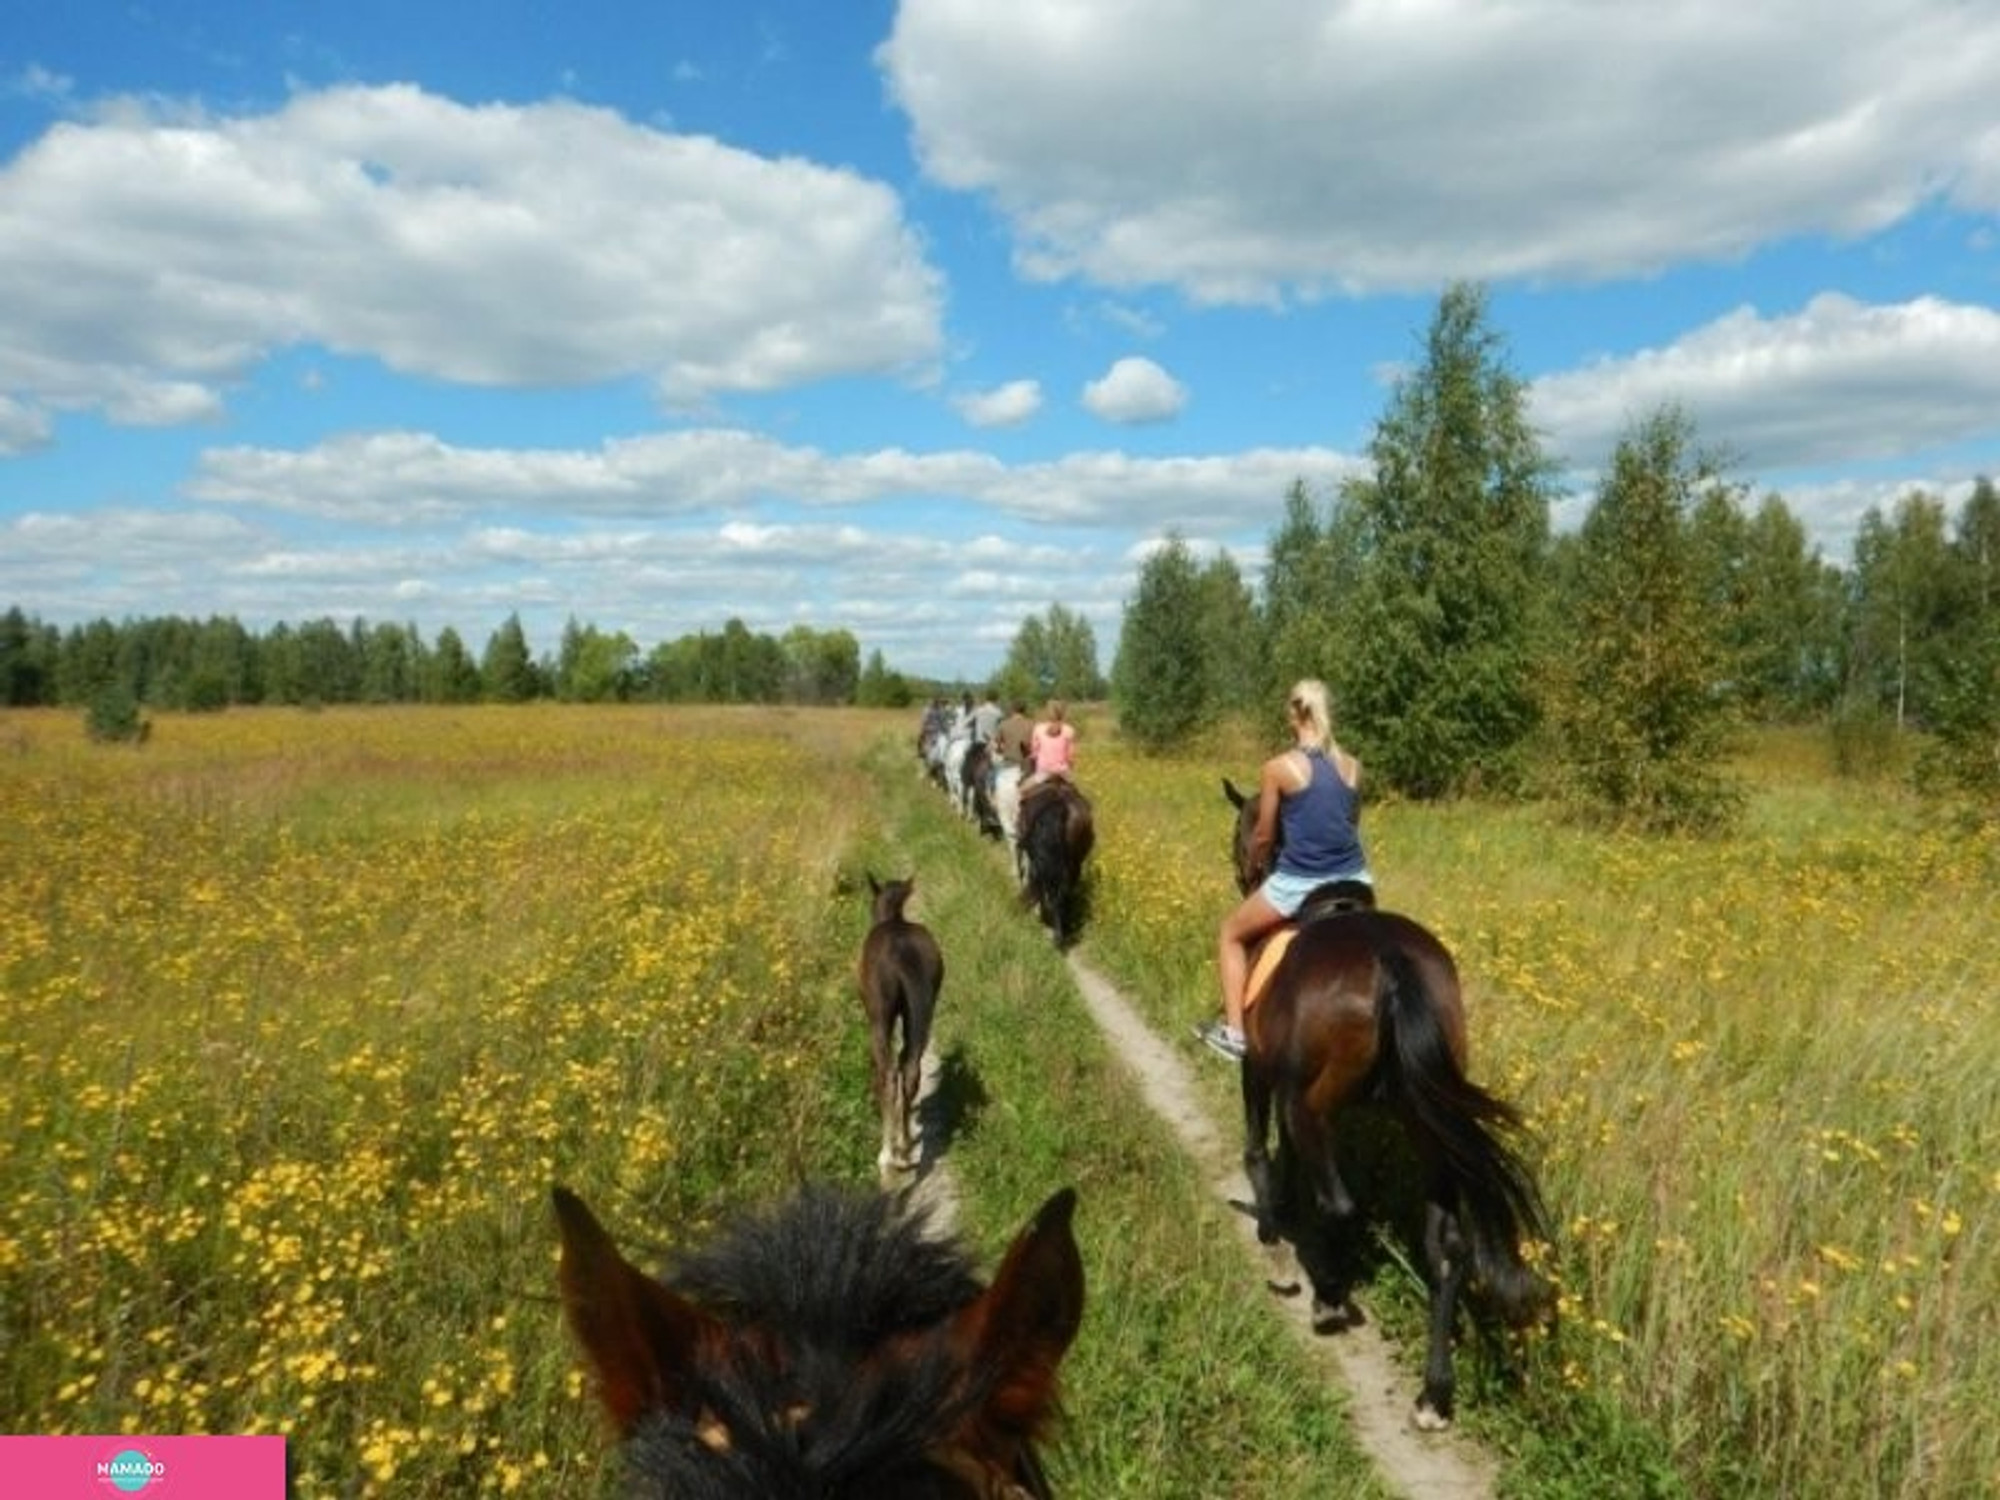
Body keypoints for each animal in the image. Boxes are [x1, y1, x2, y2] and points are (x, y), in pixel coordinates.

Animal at [860, 876, 944, 1184]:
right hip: (920, 1017)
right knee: (909, 1071)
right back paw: (905, 1148)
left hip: (880, 1021)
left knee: (888, 1074)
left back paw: (888, 1156)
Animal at [1216, 780, 1544, 1424]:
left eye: (1243, 829)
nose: (1244, 871)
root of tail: (1390, 964)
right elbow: (1286, 1161)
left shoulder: (1259, 1073)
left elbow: (1259, 1154)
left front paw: (1274, 1242)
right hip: (1425, 1121)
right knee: (1448, 1247)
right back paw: (1435, 1393)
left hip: (1314, 1104)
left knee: (1341, 1204)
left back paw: (1329, 1299)